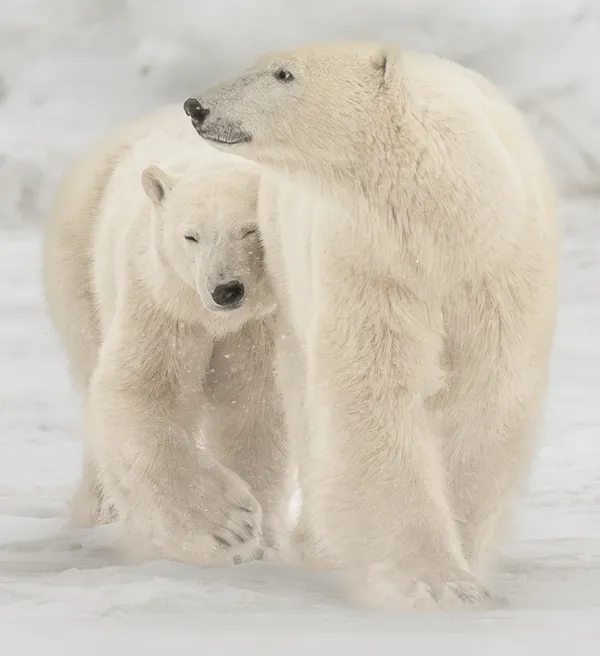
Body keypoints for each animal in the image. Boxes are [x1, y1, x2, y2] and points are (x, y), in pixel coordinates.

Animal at [43, 107, 292, 564]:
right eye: (190, 235)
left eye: (250, 230)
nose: (226, 290)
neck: (215, 321)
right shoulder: (162, 300)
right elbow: (141, 390)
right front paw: (230, 524)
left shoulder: (260, 323)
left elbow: (255, 406)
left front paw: (260, 536)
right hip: (79, 253)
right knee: (89, 363)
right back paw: (100, 507)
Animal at [185, 42, 560, 608]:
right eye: (260, 64)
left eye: (283, 73)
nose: (196, 106)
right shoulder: (371, 262)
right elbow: (375, 391)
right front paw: (436, 580)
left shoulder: (490, 268)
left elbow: (487, 394)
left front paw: (465, 556)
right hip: (289, 268)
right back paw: (317, 543)